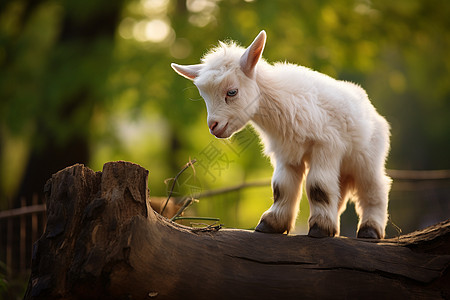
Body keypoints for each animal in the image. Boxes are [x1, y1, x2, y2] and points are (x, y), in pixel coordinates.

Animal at [172, 30, 390, 239]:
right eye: (204, 96)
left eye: (232, 92)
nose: (213, 126)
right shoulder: (286, 152)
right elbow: (281, 187)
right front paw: (271, 224)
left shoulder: (326, 145)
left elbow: (317, 186)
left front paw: (319, 229)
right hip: (345, 166)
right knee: (340, 192)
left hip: (367, 157)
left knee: (375, 188)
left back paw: (370, 230)